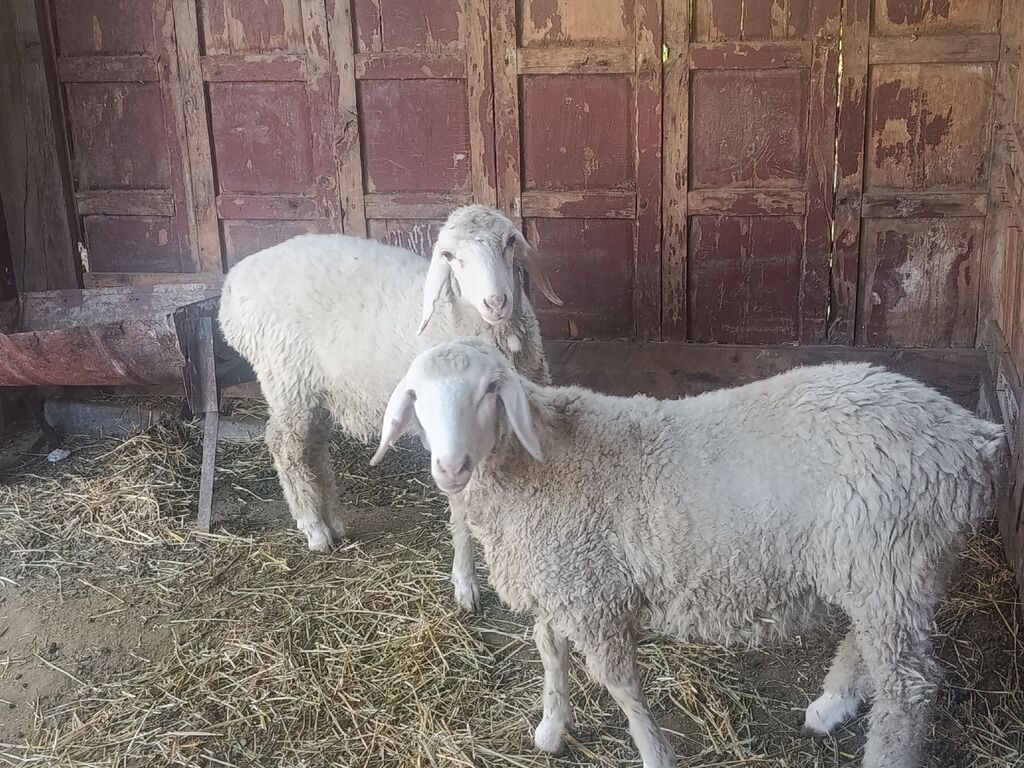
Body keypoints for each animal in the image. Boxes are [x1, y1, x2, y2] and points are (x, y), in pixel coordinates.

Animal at [218, 206, 562, 611]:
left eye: (509, 242)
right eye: (449, 256)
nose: (496, 302)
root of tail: (231, 285)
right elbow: (461, 509)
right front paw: (465, 585)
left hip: (316, 390)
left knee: (312, 448)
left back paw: (332, 520)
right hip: (287, 380)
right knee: (285, 447)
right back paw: (313, 527)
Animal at [370, 339, 1006, 768]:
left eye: (489, 391)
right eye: (416, 397)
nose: (450, 467)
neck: (540, 463)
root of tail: (969, 440)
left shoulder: (593, 597)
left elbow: (621, 687)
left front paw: (654, 754)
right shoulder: (561, 582)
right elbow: (550, 654)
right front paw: (552, 728)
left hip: (889, 557)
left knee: (908, 688)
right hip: (892, 567)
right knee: (874, 648)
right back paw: (830, 705)